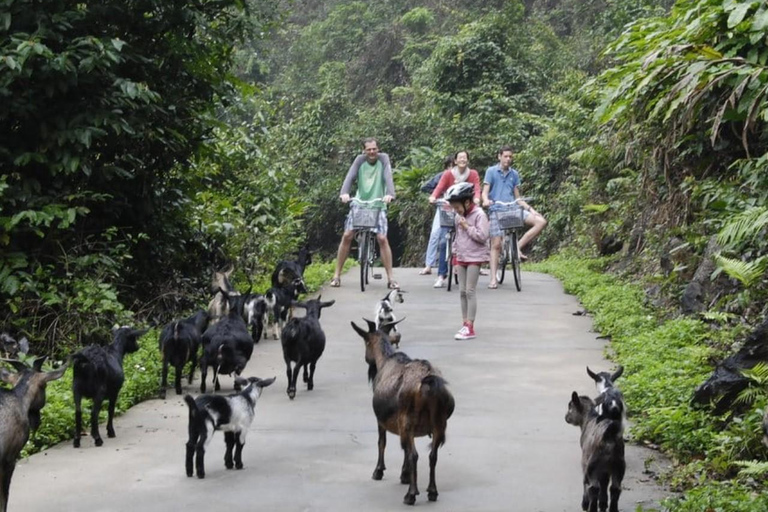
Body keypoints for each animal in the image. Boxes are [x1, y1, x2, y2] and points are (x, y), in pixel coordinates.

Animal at [354, 320, 456, 504]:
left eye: (366, 342)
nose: (367, 361)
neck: (384, 360)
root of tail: (429, 384)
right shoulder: (405, 427)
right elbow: (404, 449)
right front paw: (405, 475)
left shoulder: (381, 419)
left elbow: (382, 442)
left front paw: (378, 471)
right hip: (439, 423)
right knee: (432, 455)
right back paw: (432, 491)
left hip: (408, 418)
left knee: (414, 455)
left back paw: (411, 495)